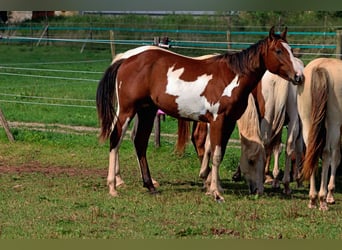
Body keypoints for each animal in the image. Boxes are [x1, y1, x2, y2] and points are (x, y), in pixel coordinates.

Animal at [97, 26, 304, 200]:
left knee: (140, 142)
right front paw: (215, 192)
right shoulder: (218, 120)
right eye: (279, 51)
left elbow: (216, 151)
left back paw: (149, 185)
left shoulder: (227, 122)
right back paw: (113, 186)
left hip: (146, 111)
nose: (298, 76)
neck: (232, 77)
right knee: (115, 140)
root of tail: (126, 60)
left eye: (290, 50)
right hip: (127, 111)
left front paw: (215, 186)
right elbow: (216, 154)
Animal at [296, 57, 342, 210]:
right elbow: (336, 157)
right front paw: (330, 194)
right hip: (334, 123)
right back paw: (322, 199)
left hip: (307, 121)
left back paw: (312, 198)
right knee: (328, 153)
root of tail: (320, 67)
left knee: (312, 151)